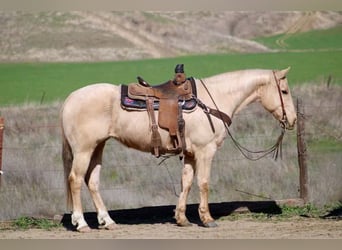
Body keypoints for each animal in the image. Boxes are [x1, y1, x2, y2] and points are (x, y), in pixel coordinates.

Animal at [61, 67, 296, 231]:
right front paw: (207, 219)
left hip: (97, 147)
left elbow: (187, 183)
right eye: (284, 91)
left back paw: (107, 221)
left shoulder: (191, 154)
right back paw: (81, 223)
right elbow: (203, 183)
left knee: (92, 181)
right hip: (83, 150)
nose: (293, 120)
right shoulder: (205, 152)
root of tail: (70, 99)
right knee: (75, 180)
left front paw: (182, 219)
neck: (214, 99)